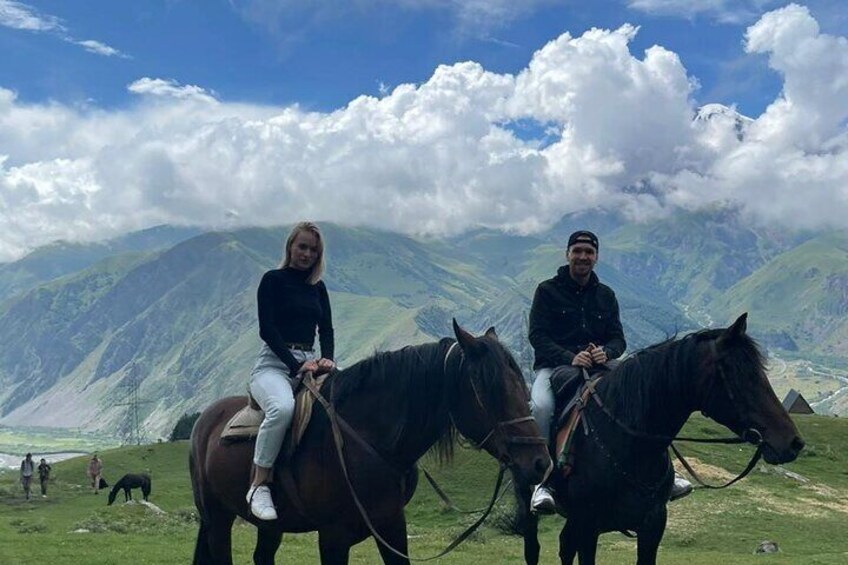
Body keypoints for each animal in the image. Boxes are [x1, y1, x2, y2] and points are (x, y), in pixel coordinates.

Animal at [190, 322, 552, 564]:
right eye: (492, 390)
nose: (540, 462)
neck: (369, 443)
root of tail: (206, 421)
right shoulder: (332, 537)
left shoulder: (391, 526)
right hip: (217, 519)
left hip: (271, 526)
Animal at [512, 312, 804, 564]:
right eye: (740, 374)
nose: (793, 442)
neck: (629, 447)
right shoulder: (588, 527)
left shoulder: (652, 527)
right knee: (534, 548)